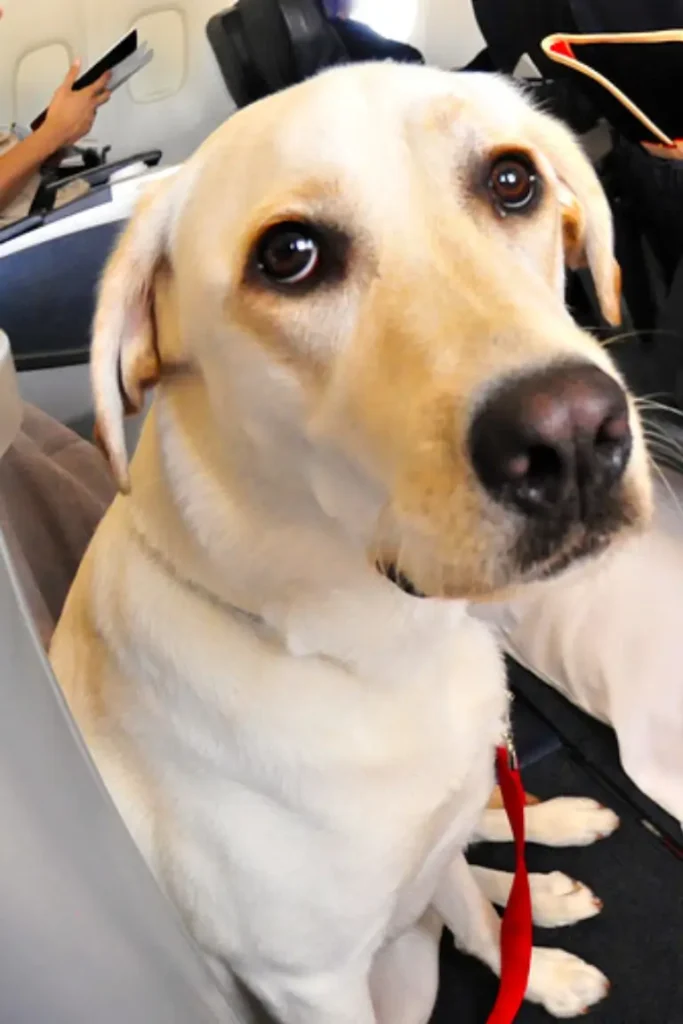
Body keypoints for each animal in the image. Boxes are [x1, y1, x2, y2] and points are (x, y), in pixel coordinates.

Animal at [52, 66, 651, 1024]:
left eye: (512, 180)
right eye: (288, 255)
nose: (571, 437)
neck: (376, 650)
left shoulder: (434, 841)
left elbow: (479, 919)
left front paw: (539, 970)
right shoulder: (311, 984)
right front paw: (539, 958)